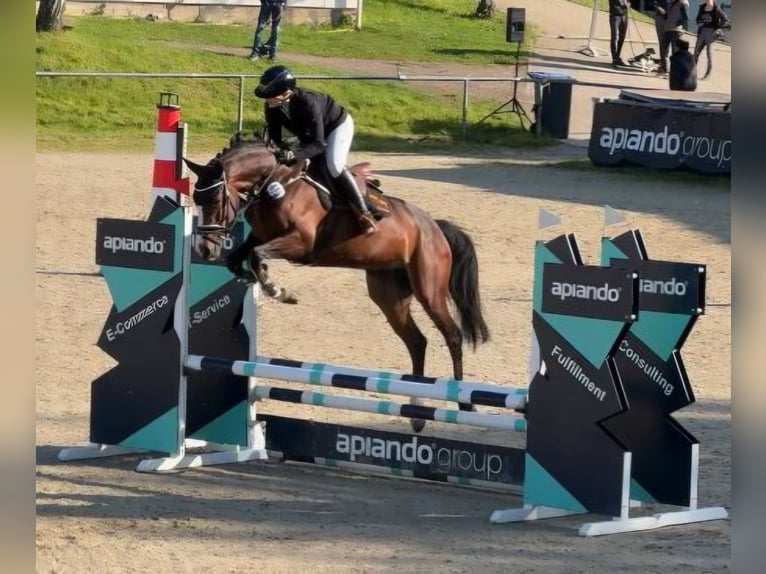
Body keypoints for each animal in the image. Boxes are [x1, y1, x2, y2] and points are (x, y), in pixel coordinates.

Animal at [183, 136, 488, 432]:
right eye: (195, 198)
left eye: (215, 199)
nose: (204, 250)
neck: (274, 182)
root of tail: (434, 226)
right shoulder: (261, 236)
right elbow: (239, 257)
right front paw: (253, 279)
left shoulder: (301, 243)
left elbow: (257, 255)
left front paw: (278, 291)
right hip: (388, 296)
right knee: (417, 341)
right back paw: (416, 412)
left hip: (429, 289)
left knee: (452, 335)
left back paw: (464, 404)